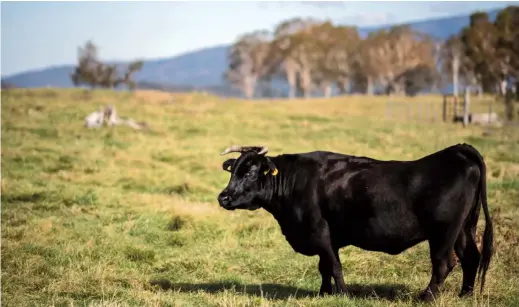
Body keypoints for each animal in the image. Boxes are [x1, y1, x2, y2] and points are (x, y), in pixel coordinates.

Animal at [217, 145, 494, 304]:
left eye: (250, 172)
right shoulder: (328, 238)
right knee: (471, 258)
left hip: (443, 233)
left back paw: (426, 297)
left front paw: (344, 295)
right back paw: (465, 295)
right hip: (464, 229)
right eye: (232, 171)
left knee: (444, 264)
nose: (223, 197)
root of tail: (457, 151)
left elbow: (334, 266)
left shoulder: (319, 232)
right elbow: (324, 267)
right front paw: (323, 294)